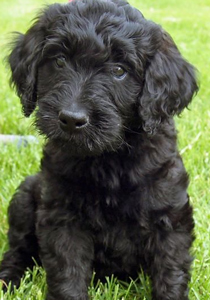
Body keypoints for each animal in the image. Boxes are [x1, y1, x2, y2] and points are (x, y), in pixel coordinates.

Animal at [0, 0, 198, 300]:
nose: (72, 119)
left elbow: (170, 273)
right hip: (26, 195)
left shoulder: (169, 216)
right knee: (18, 250)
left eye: (119, 70)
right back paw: (7, 279)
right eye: (59, 61)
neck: (108, 159)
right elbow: (67, 274)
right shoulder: (62, 216)